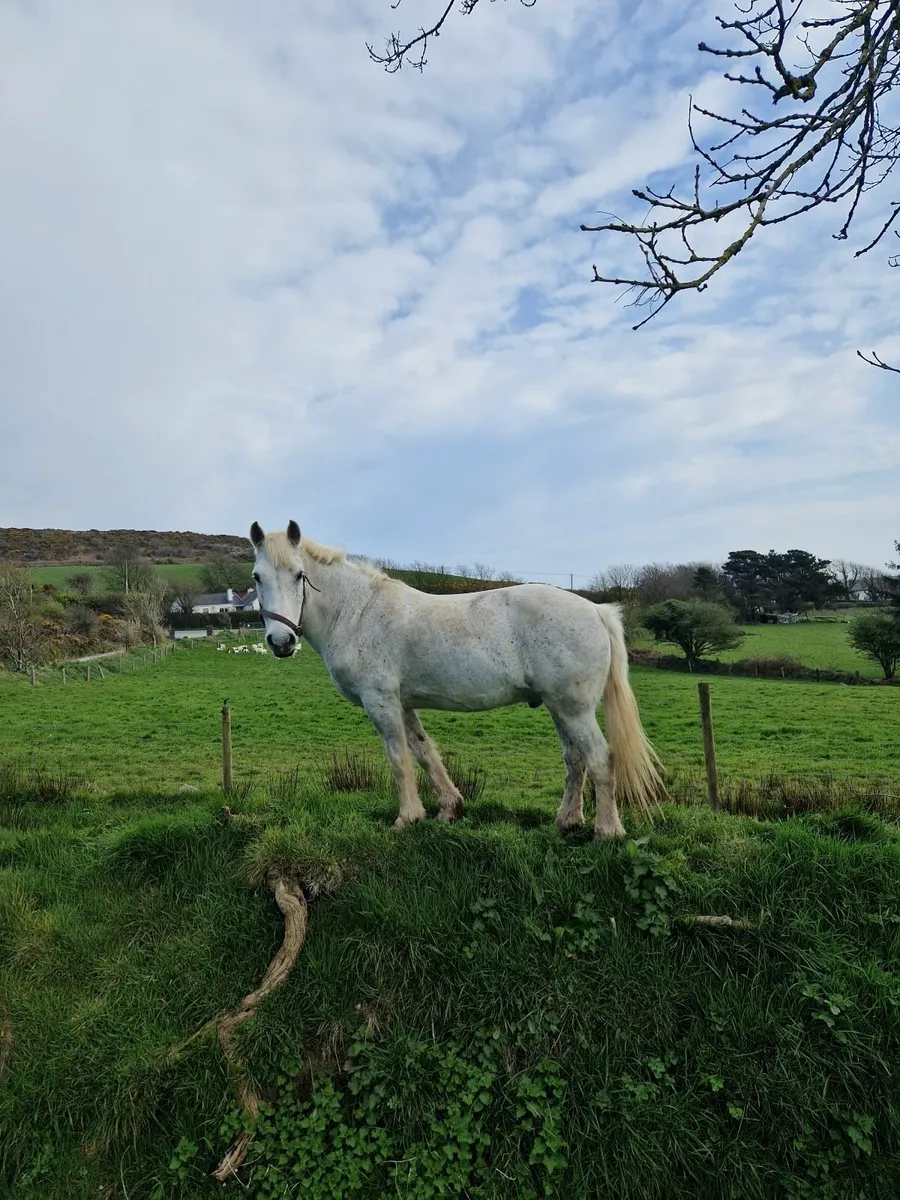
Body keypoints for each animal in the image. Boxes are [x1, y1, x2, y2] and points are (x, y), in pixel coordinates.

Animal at [250, 520, 661, 838]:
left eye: (299, 575)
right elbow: (423, 751)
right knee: (575, 759)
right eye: (257, 577)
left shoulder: (380, 701)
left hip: (574, 709)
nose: (282, 642)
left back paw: (606, 831)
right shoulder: (403, 704)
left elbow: (398, 758)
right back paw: (566, 822)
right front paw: (449, 808)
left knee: (600, 759)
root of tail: (596, 610)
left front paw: (407, 818)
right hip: (560, 708)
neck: (357, 612)